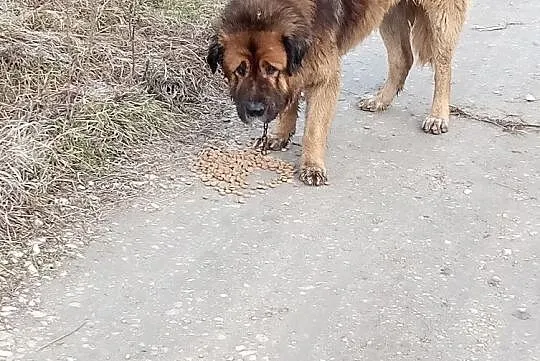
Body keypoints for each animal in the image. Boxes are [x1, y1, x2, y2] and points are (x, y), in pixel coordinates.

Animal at [207, 0, 468, 186]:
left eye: (271, 69)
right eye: (240, 70)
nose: (255, 111)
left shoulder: (325, 76)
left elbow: (314, 128)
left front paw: (312, 166)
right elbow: (289, 102)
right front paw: (280, 135)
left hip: (441, 18)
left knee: (443, 67)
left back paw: (438, 116)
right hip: (388, 15)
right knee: (403, 58)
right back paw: (380, 100)